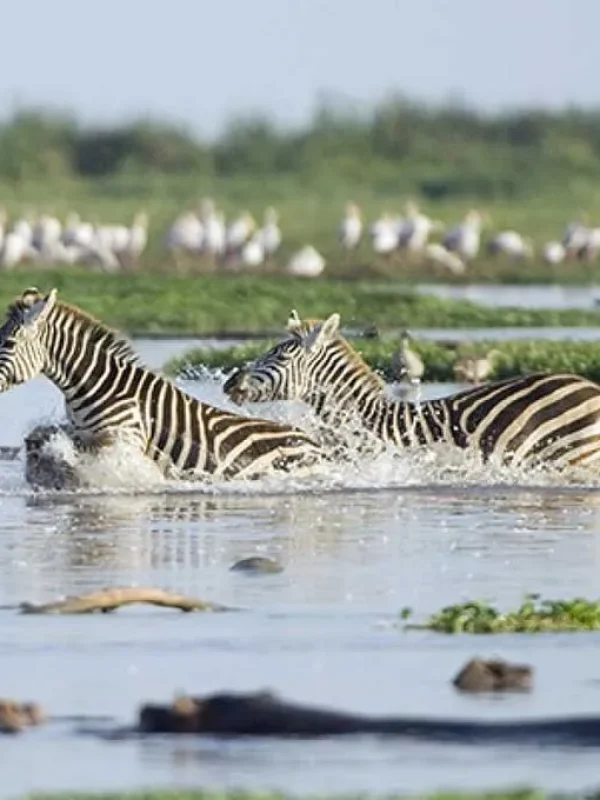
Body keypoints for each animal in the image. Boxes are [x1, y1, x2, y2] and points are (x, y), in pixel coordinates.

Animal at [0, 288, 324, 488]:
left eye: (9, 343)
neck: (95, 387)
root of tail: (314, 443)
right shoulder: (82, 431)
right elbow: (42, 437)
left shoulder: (123, 440)